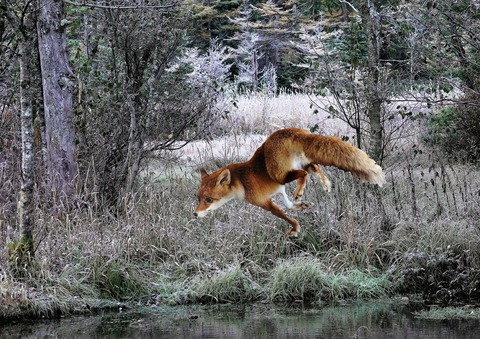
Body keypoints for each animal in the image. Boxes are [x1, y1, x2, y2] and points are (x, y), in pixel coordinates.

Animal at [193, 129, 384, 238]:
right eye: (198, 198)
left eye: (209, 200)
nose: (195, 214)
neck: (240, 182)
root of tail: (291, 130)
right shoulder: (279, 191)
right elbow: (289, 206)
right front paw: (302, 206)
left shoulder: (265, 201)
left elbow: (284, 215)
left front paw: (295, 228)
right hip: (300, 164)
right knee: (315, 167)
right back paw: (325, 184)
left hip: (280, 175)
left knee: (304, 173)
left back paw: (301, 190)